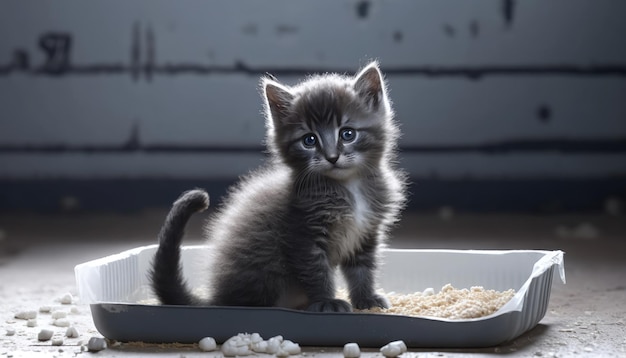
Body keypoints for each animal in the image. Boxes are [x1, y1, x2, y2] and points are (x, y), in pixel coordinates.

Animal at [149, 60, 408, 312]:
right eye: (309, 140)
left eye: (347, 134)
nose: (332, 157)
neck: (349, 186)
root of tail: (219, 298)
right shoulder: (302, 234)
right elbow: (317, 271)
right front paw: (326, 301)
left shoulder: (366, 233)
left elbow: (362, 269)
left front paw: (366, 299)